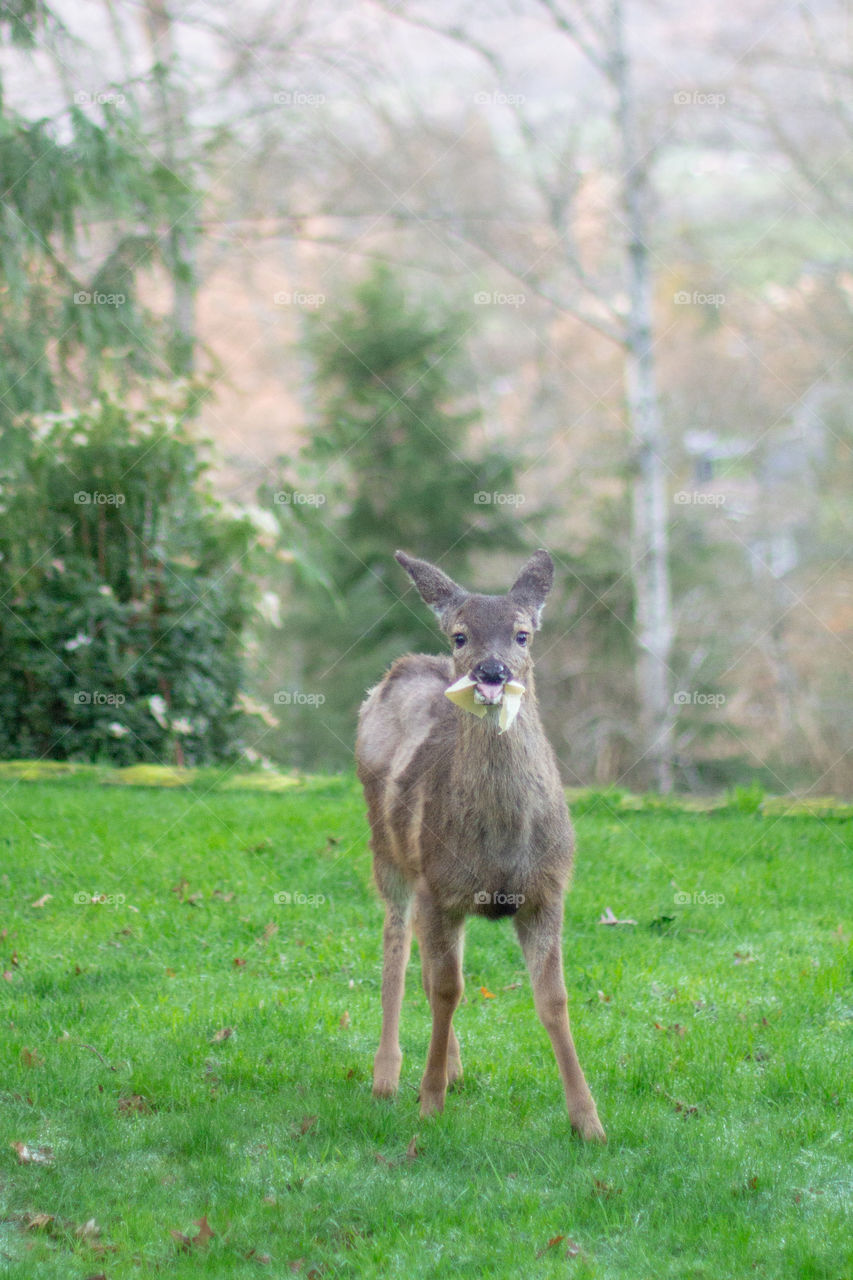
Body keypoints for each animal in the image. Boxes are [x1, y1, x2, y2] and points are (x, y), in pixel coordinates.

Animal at [355, 549, 605, 1142]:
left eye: (522, 634)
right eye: (461, 635)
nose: (493, 674)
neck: (503, 845)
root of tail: (400, 666)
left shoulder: (547, 891)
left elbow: (553, 999)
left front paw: (588, 1120)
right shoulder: (438, 887)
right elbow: (449, 989)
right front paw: (429, 1105)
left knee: (425, 966)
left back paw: (454, 1068)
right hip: (390, 853)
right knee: (397, 947)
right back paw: (387, 1077)